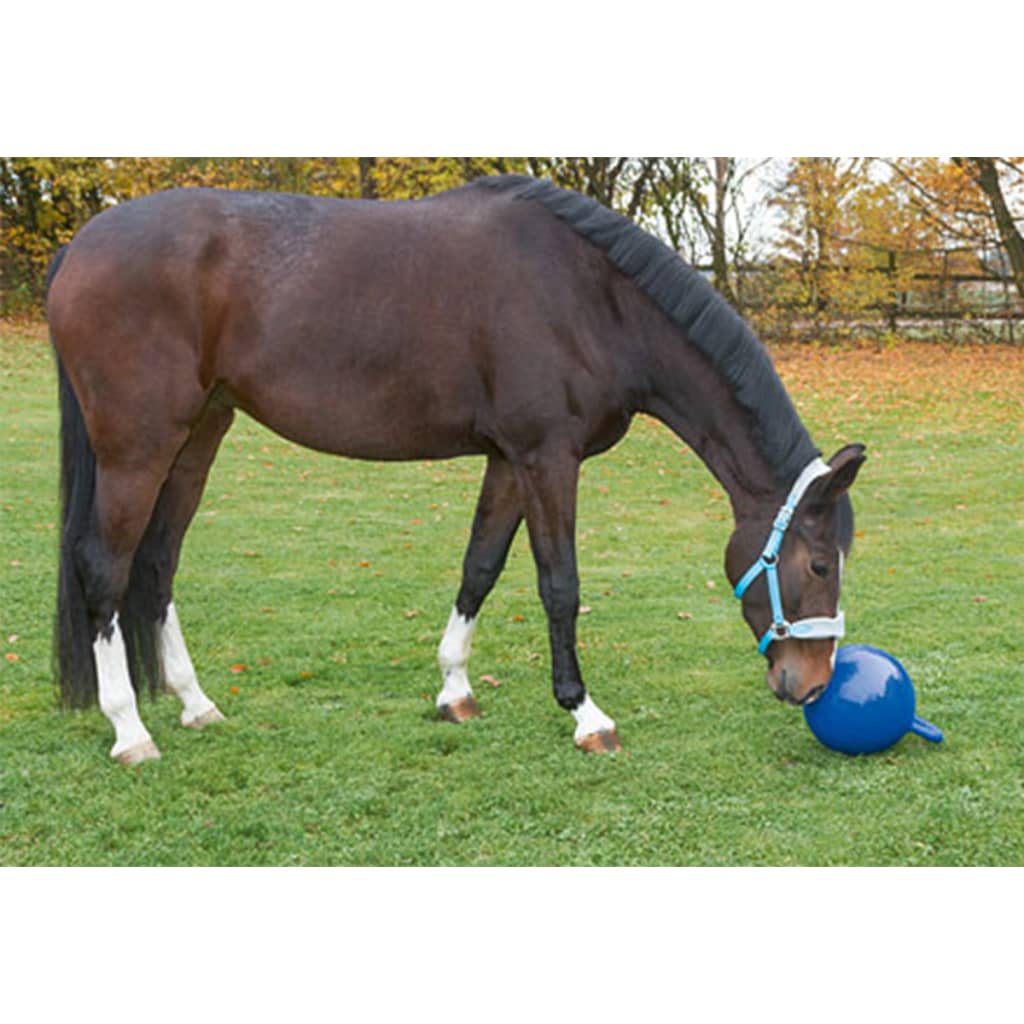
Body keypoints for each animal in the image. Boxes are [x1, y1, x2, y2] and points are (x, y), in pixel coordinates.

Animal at [46, 172, 864, 765]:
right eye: (820, 564)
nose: (813, 684)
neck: (592, 300)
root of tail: (81, 246)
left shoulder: (508, 461)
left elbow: (481, 567)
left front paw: (454, 691)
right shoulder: (546, 458)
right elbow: (559, 585)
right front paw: (585, 713)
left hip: (198, 437)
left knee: (157, 564)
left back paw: (195, 704)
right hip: (137, 448)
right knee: (104, 569)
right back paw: (130, 730)